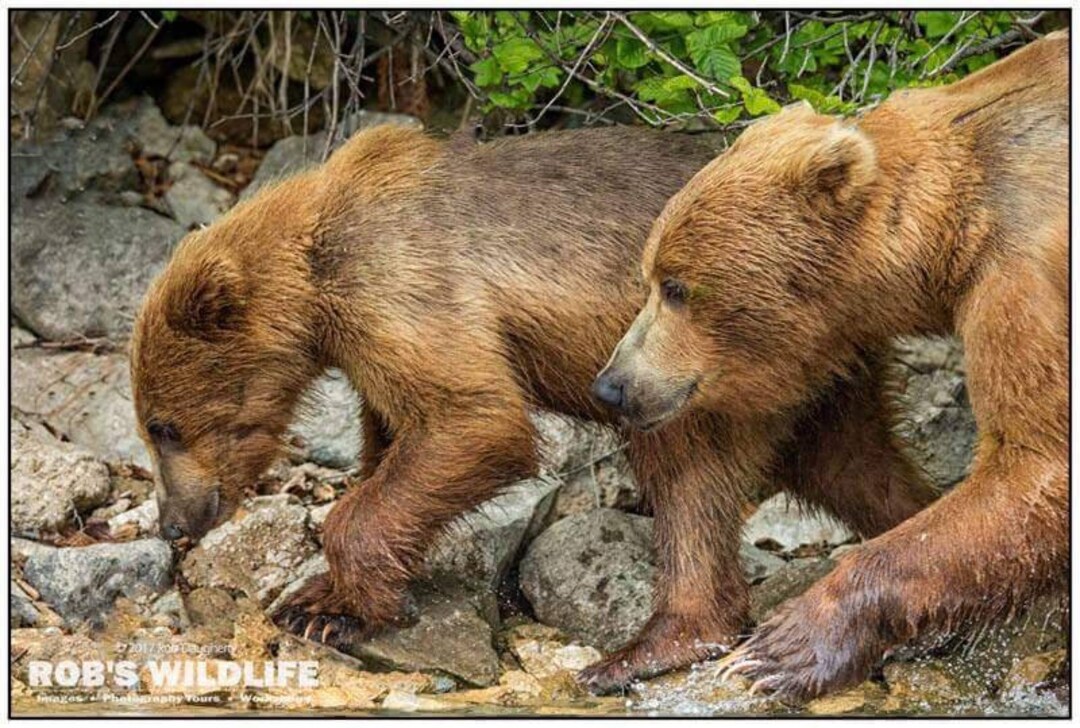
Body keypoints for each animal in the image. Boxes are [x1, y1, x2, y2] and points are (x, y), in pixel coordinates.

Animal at [596, 31, 1067, 699]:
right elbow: (836, 452)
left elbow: (1037, 461)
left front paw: (781, 649)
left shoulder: (1030, 278)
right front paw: (657, 642)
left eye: (677, 287)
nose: (612, 385)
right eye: (649, 278)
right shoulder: (818, 344)